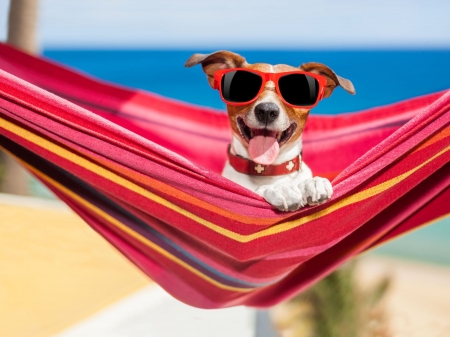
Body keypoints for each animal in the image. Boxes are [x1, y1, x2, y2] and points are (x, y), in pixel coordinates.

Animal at [185, 50, 354, 210]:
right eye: (243, 85)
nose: (267, 110)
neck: (268, 169)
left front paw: (312, 183)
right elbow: (259, 190)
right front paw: (280, 189)